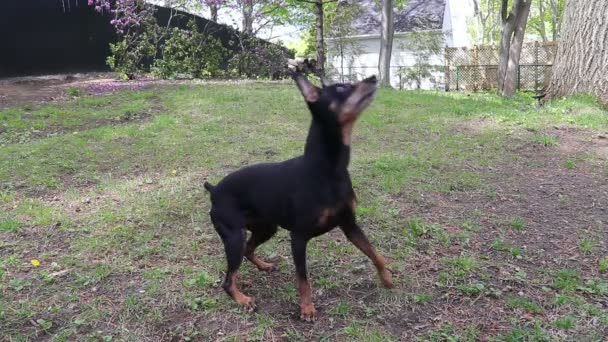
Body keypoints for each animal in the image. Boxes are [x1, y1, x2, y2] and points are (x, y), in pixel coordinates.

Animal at [204, 71, 394, 320]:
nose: (373, 77)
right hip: (235, 236)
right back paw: (243, 299)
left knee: (248, 249)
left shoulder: (350, 225)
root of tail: (214, 190)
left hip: (266, 228)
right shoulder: (298, 238)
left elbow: (375, 253)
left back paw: (264, 266)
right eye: (341, 88)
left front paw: (387, 278)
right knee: (228, 280)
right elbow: (303, 279)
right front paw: (306, 308)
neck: (328, 169)